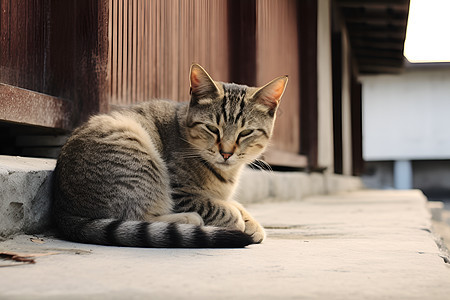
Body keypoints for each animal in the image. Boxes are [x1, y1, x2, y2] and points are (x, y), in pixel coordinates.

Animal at [51, 63, 288, 248]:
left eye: (245, 132)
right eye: (212, 128)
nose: (226, 153)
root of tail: (63, 208)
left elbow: (235, 204)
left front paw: (251, 222)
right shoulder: (181, 193)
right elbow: (219, 207)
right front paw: (238, 220)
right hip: (139, 158)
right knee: (138, 217)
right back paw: (188, 220)